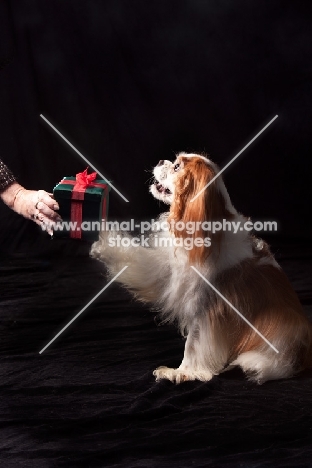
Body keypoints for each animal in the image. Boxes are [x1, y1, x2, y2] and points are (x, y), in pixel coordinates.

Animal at [90, 154, 312, 384]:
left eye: (177, 166)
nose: (161, 161)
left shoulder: (205, 309)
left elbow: (193, 345)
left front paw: (180, 372)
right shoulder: (166, 270)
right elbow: (138, 259)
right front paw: (102, 245)